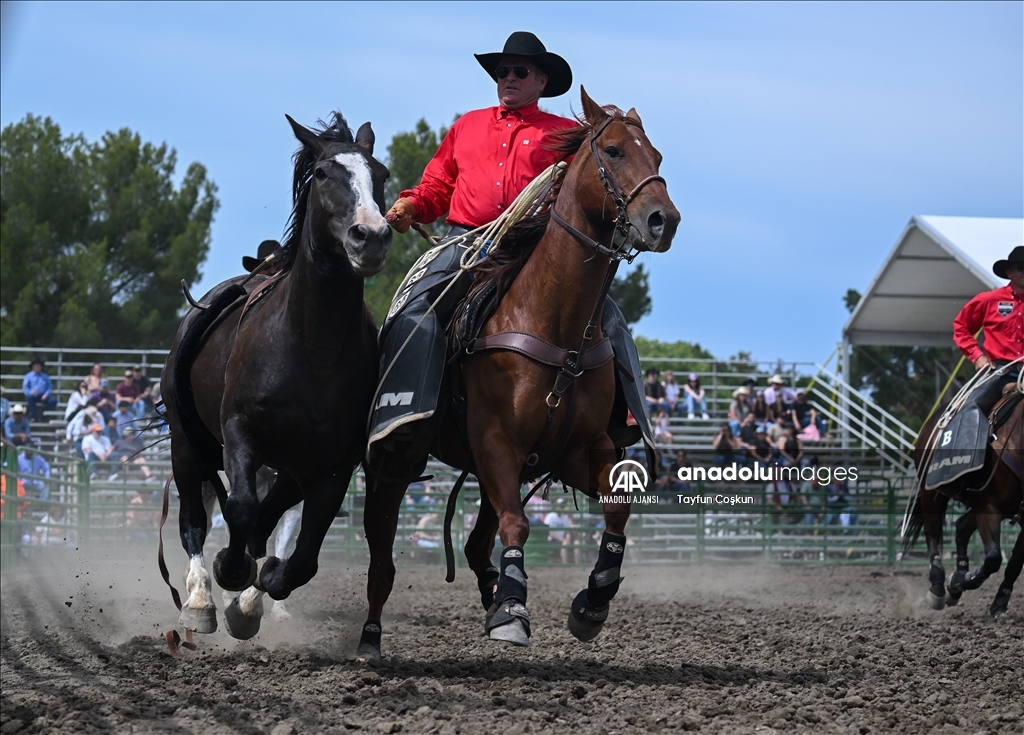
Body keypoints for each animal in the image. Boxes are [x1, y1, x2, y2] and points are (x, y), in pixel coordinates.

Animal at [161, 113, 389, 638]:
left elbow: (298, 555)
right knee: (194, 518)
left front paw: (253, 598)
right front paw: (231, 573)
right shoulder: (239, 432)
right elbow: (241, 511)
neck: (312, 346)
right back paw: (200, 599)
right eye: (323, 173)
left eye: (381, 175)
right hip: (186, 443)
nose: (370, 236)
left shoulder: (332, 463)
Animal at [358, 89, 679, 659]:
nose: (665, 220)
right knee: (383, 559)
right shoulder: (494, 443)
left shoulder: (577, 450)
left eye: (657, 156)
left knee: (473, 543)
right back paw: (371, 638)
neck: (553, 324)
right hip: (395, 465)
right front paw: (511, 609)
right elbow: (517, 522)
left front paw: (592, 601)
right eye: (614, 151)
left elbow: (617, 508)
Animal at [905, 382, 1024, 618]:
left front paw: (999, 602)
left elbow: (1014, 562)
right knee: (933, 532)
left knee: (960, 527)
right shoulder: (989, 506)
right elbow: (993, 558)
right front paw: (959, 581)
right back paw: (938, 586)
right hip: (930, 491)